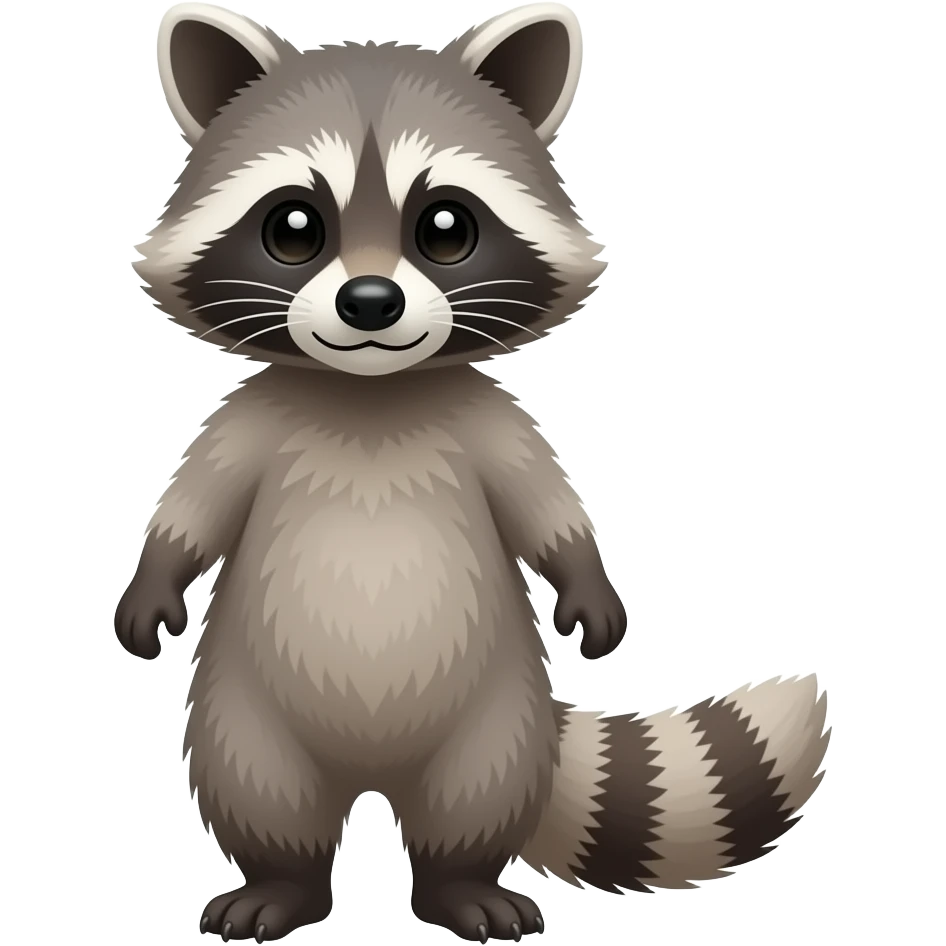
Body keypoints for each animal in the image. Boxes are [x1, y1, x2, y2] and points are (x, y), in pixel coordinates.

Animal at [118, 3, 832, 943]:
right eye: (294, 228)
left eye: (446, 227)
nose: (370, 305)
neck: (371, 393)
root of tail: (375, 774)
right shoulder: (251, 418)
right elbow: (194, 508)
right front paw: (153, 579)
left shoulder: (488, 419)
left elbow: (546, 507)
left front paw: (586, 577)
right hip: (243, 705)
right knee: (261, 788)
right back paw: (284, 881)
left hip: (497, 715)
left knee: (476, 796)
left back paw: (460, 884)